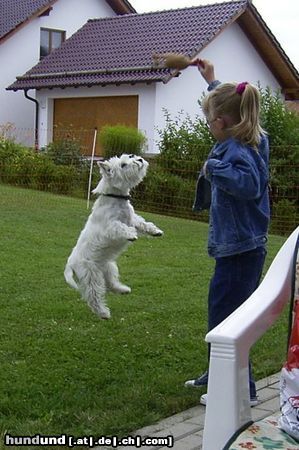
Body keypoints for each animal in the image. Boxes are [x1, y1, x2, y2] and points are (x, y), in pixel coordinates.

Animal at [64, 155, 164, 320]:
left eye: (130, 156)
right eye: (123, 165)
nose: (139, 159)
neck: (116, 197)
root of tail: (69, 264)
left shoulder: (132, 219)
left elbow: (143, 223)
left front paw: (156, 231)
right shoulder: (109, 226)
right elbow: (120, 227)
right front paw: (131, 235)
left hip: (109, 267)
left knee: (110, 284)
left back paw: (123, 289)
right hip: (92, 275)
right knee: (94, 296)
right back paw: (103, 313)